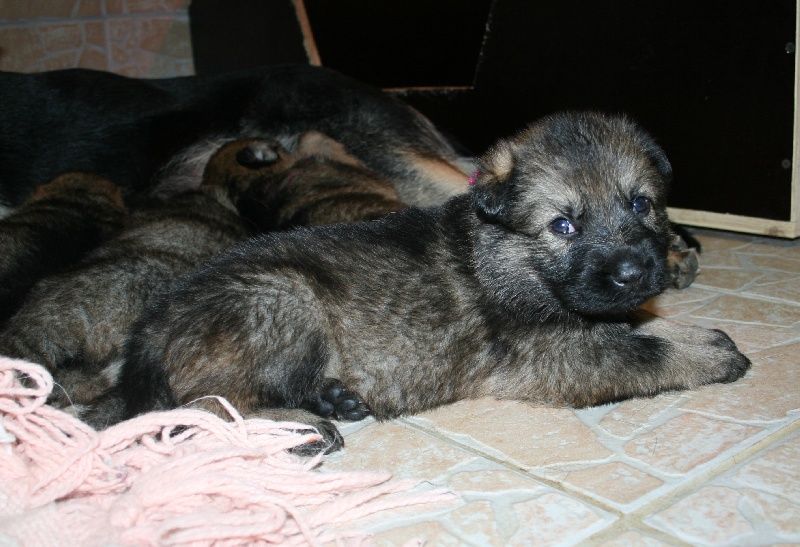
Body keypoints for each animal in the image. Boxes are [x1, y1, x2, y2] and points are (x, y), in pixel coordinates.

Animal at [94, 112, 752, 454]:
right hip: (282, 300)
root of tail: (148, 333)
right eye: (563, 225)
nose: (636, 271)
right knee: (198, 407)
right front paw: (710, 350)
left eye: (642, 204)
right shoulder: (549, 355)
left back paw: (332, 399)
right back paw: (299, 424)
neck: (504, 250)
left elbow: (635, 325)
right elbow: (639, 348)